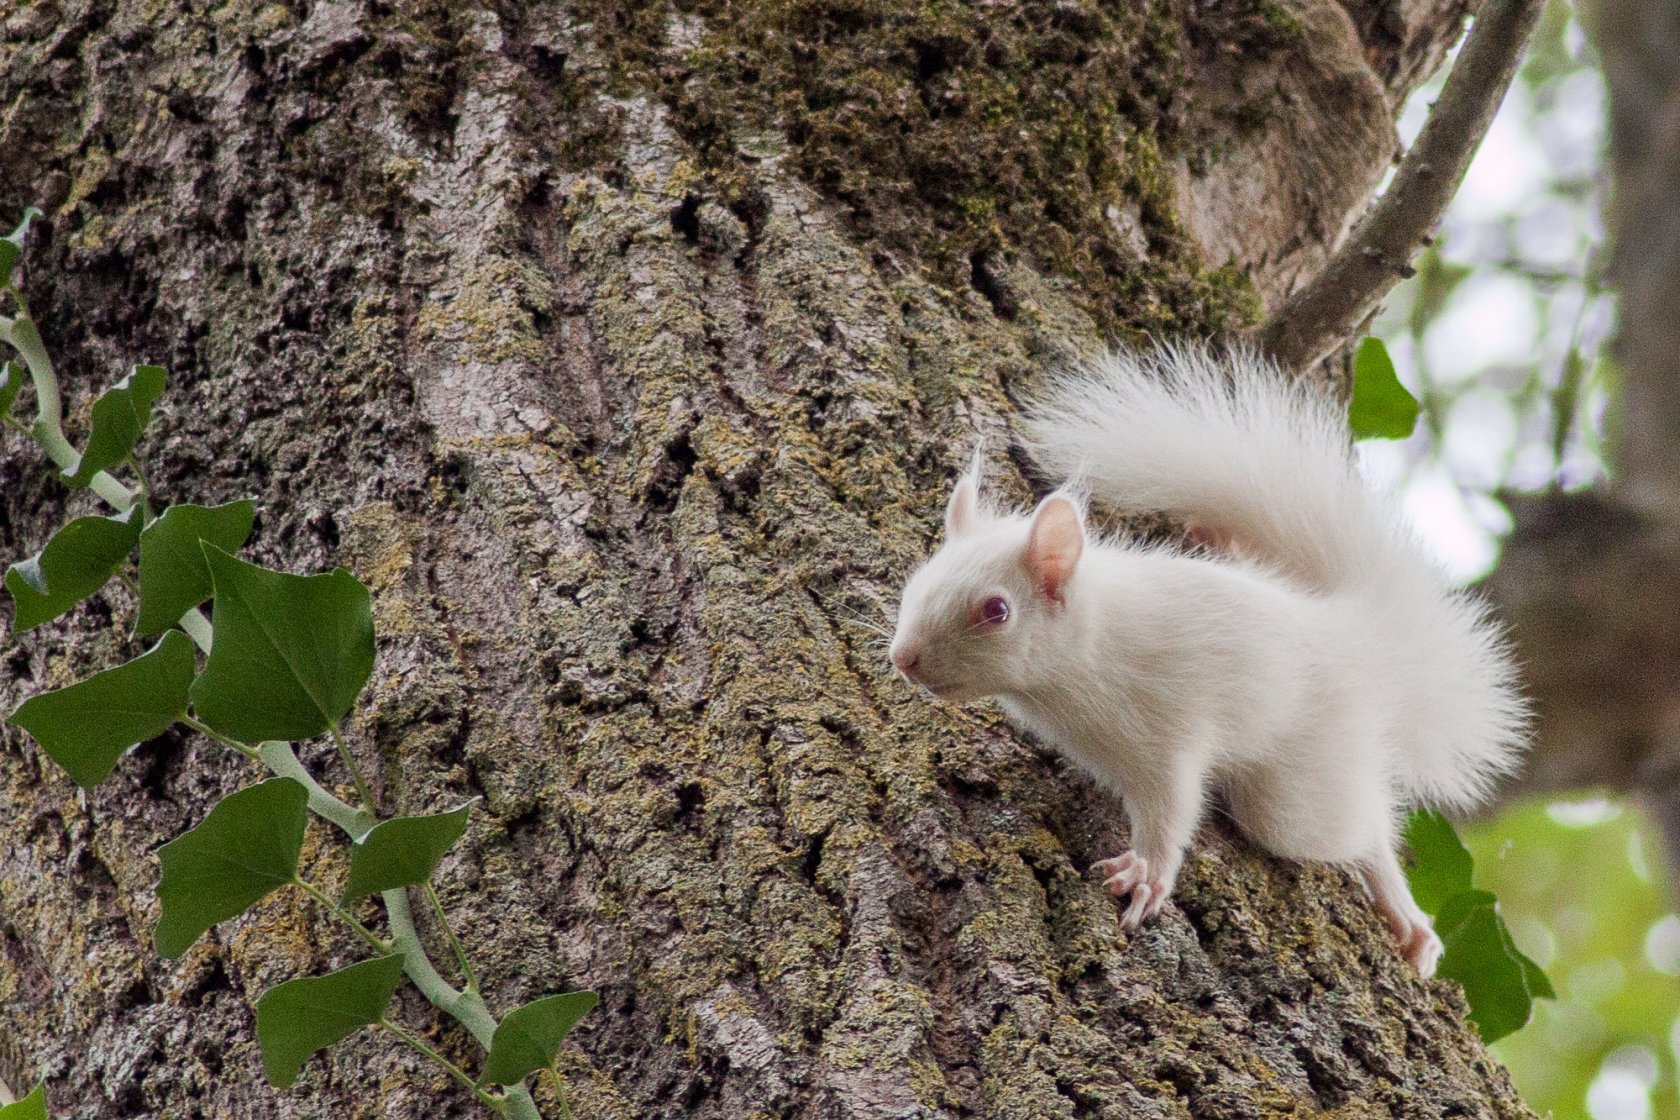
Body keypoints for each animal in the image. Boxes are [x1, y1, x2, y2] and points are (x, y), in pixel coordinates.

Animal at [887, 342, 1532, 973]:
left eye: (996, 610)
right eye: (917, 580)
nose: (904, 659)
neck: (1087, 650)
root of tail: (1354, 637)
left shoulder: (1165, 727)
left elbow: (1172, 809)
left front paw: (1145, 875)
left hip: (1300, 787)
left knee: (1366, 830)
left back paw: (1407, 917)